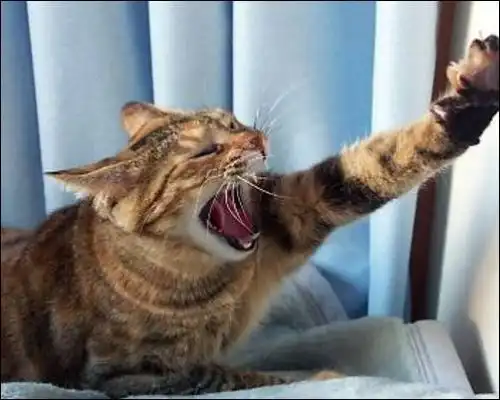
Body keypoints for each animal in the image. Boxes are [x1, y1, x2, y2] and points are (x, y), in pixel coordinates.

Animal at [1, 35, 498, 398]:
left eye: (234, 122)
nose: (258, 138)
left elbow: (377, 164)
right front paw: (321, 378)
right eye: (204, 151)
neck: (207, 280)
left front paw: (471, 95)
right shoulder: (126, 378)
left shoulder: (291, 208)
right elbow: (233, 378)